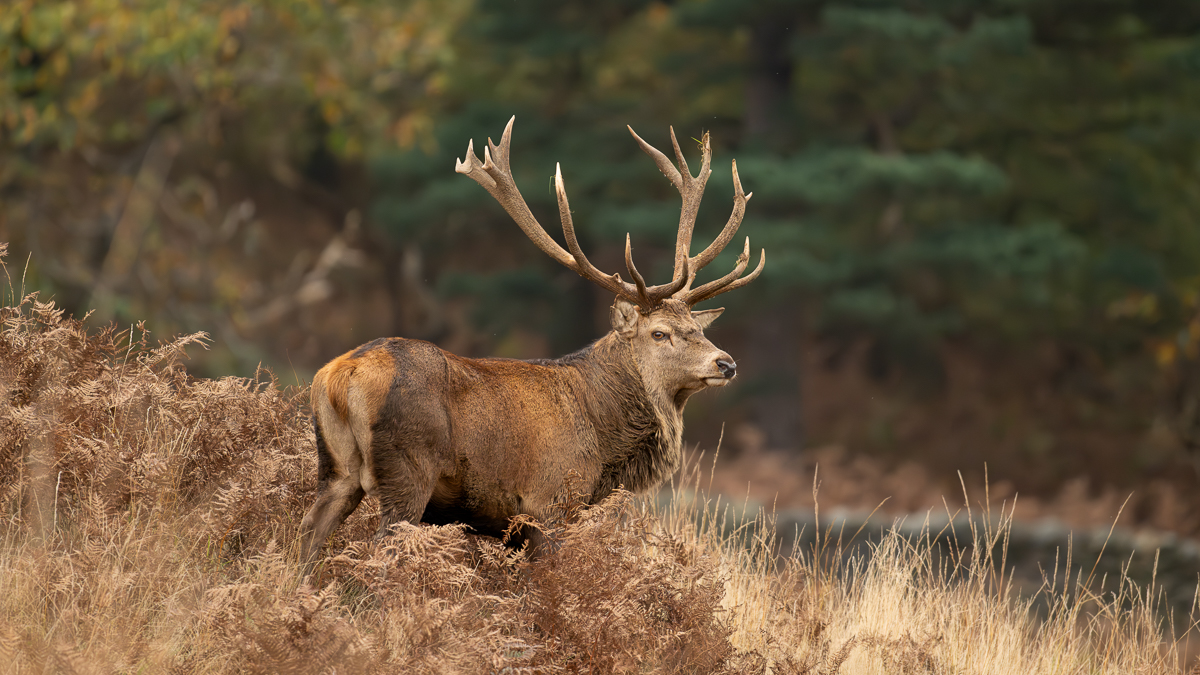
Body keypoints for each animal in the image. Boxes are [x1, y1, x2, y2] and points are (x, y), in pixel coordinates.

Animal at [295, 117, 763, 562]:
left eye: (700, 330)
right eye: (659, 333)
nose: (726, 363)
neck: (604, 441)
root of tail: (341, 375)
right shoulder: (551, 501)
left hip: (336, 469)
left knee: (308, 535)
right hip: (407, 469)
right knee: (381, 547)